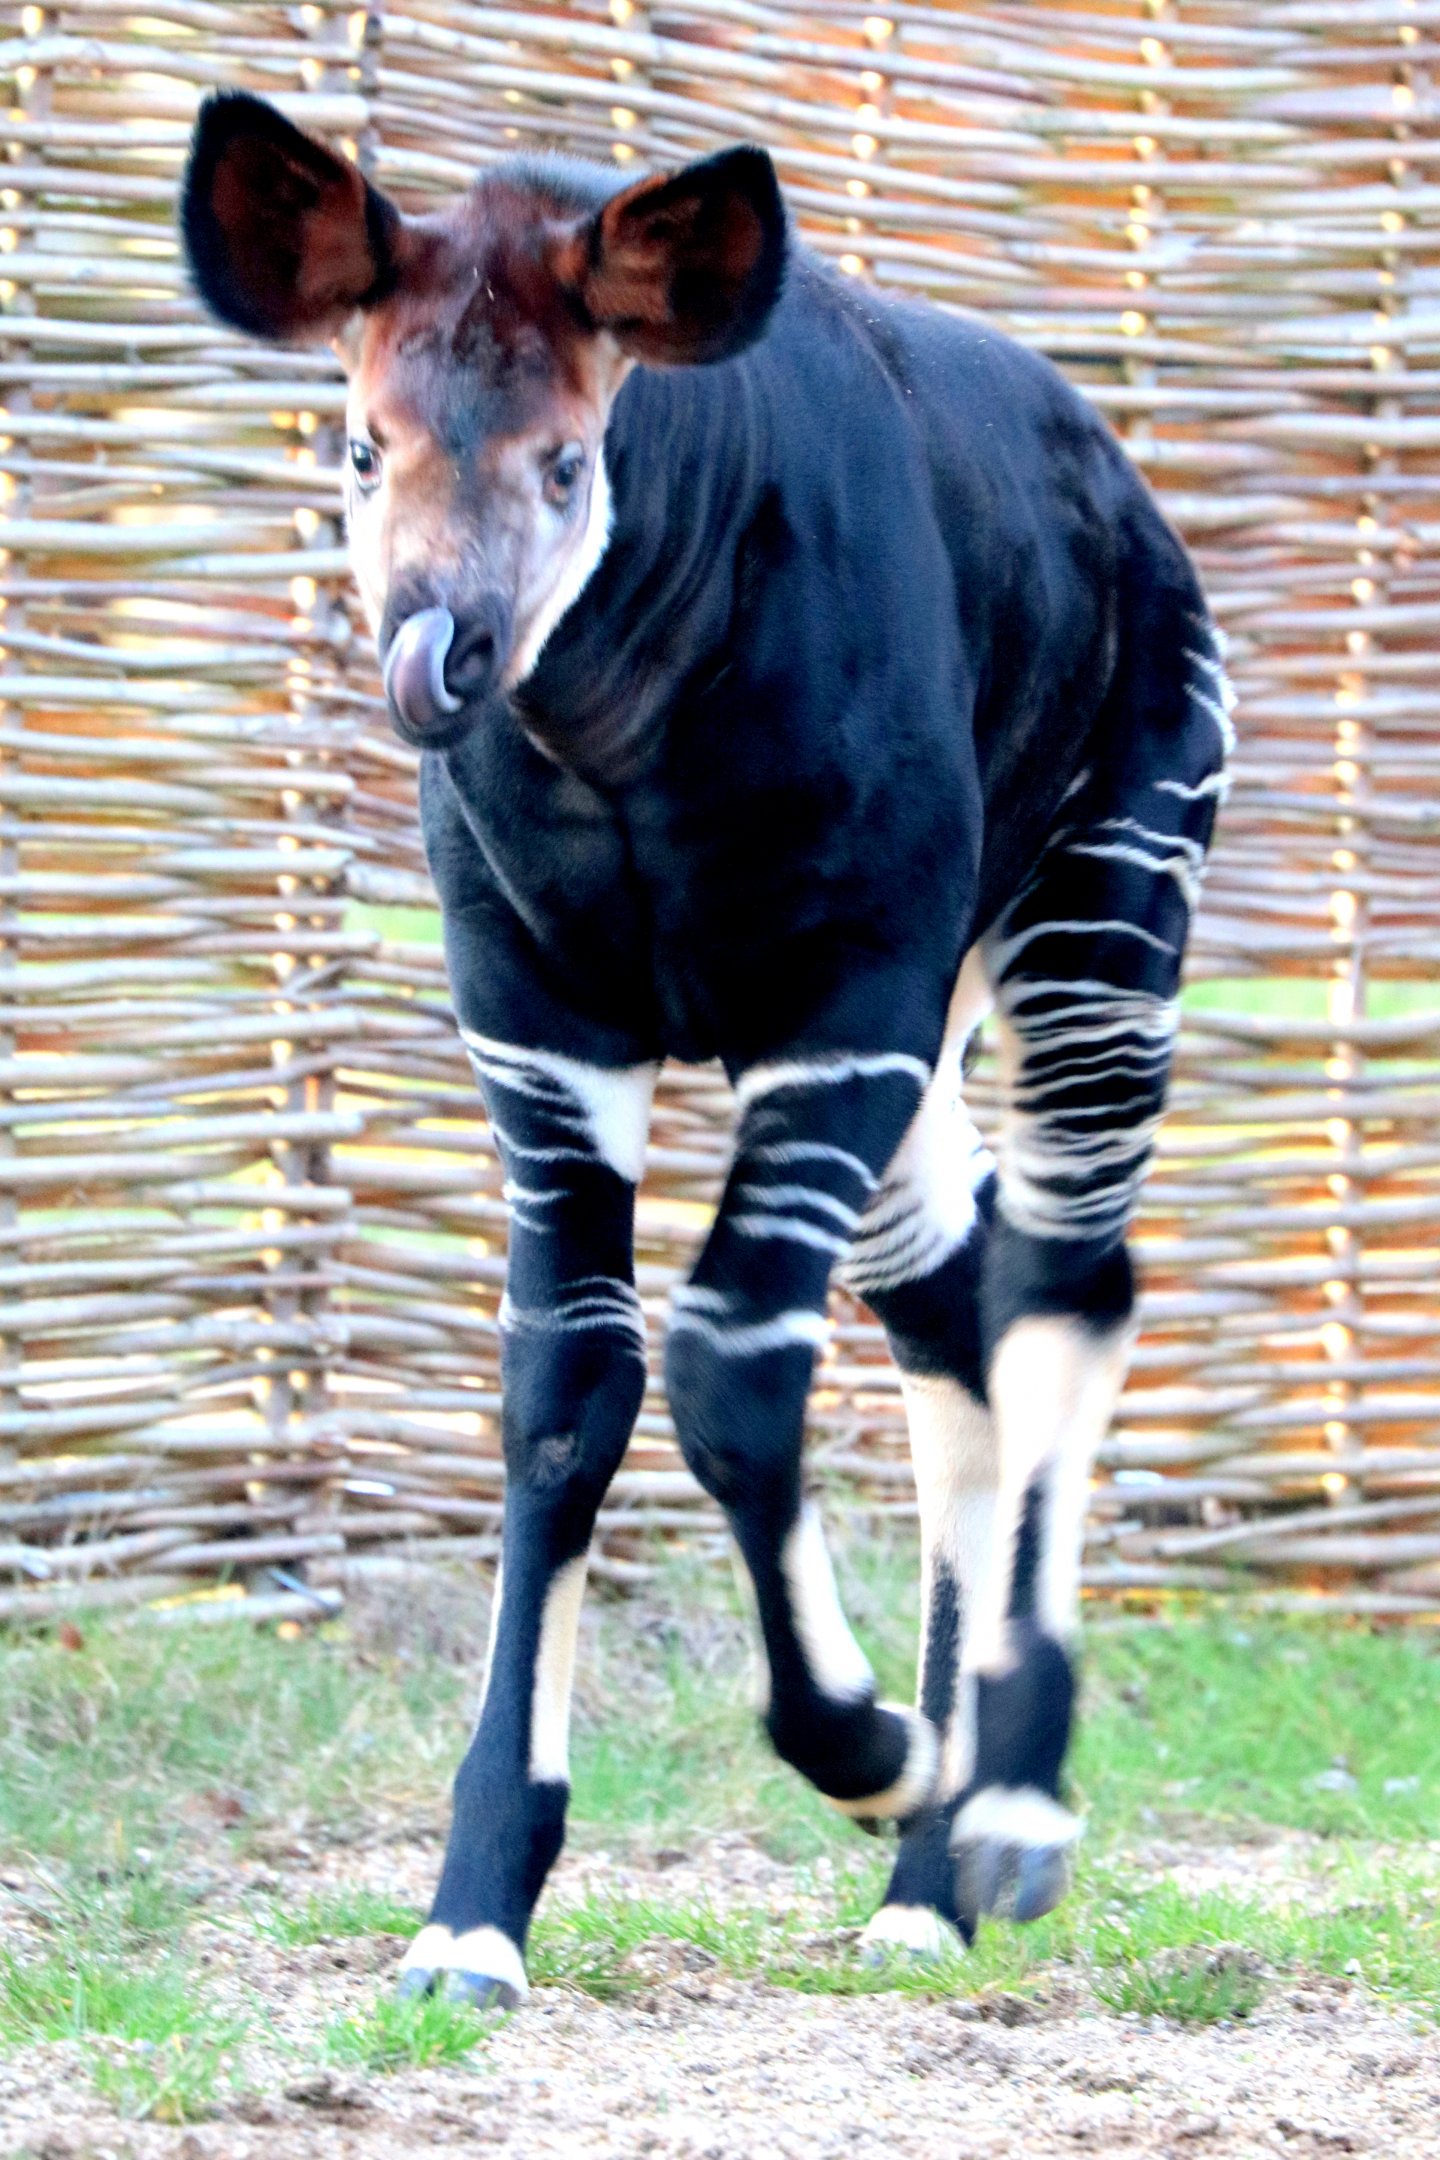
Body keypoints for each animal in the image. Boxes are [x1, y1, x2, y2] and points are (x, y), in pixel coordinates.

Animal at [179, 91, 1230, 2011]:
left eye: (567, 466)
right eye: (360, 449)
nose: (436, 661)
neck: (619, 742)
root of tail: (1117, 477)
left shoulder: (833, 1010)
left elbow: (730, 1371)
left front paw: (870, 1742)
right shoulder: (545, 1039)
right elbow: (564, 1398)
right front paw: (472, 1913)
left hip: (1101, 909)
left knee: (1068, 1276)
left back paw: (1007, 1808)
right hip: (927, 1031)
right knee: (953, 1297)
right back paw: (928, 1880)